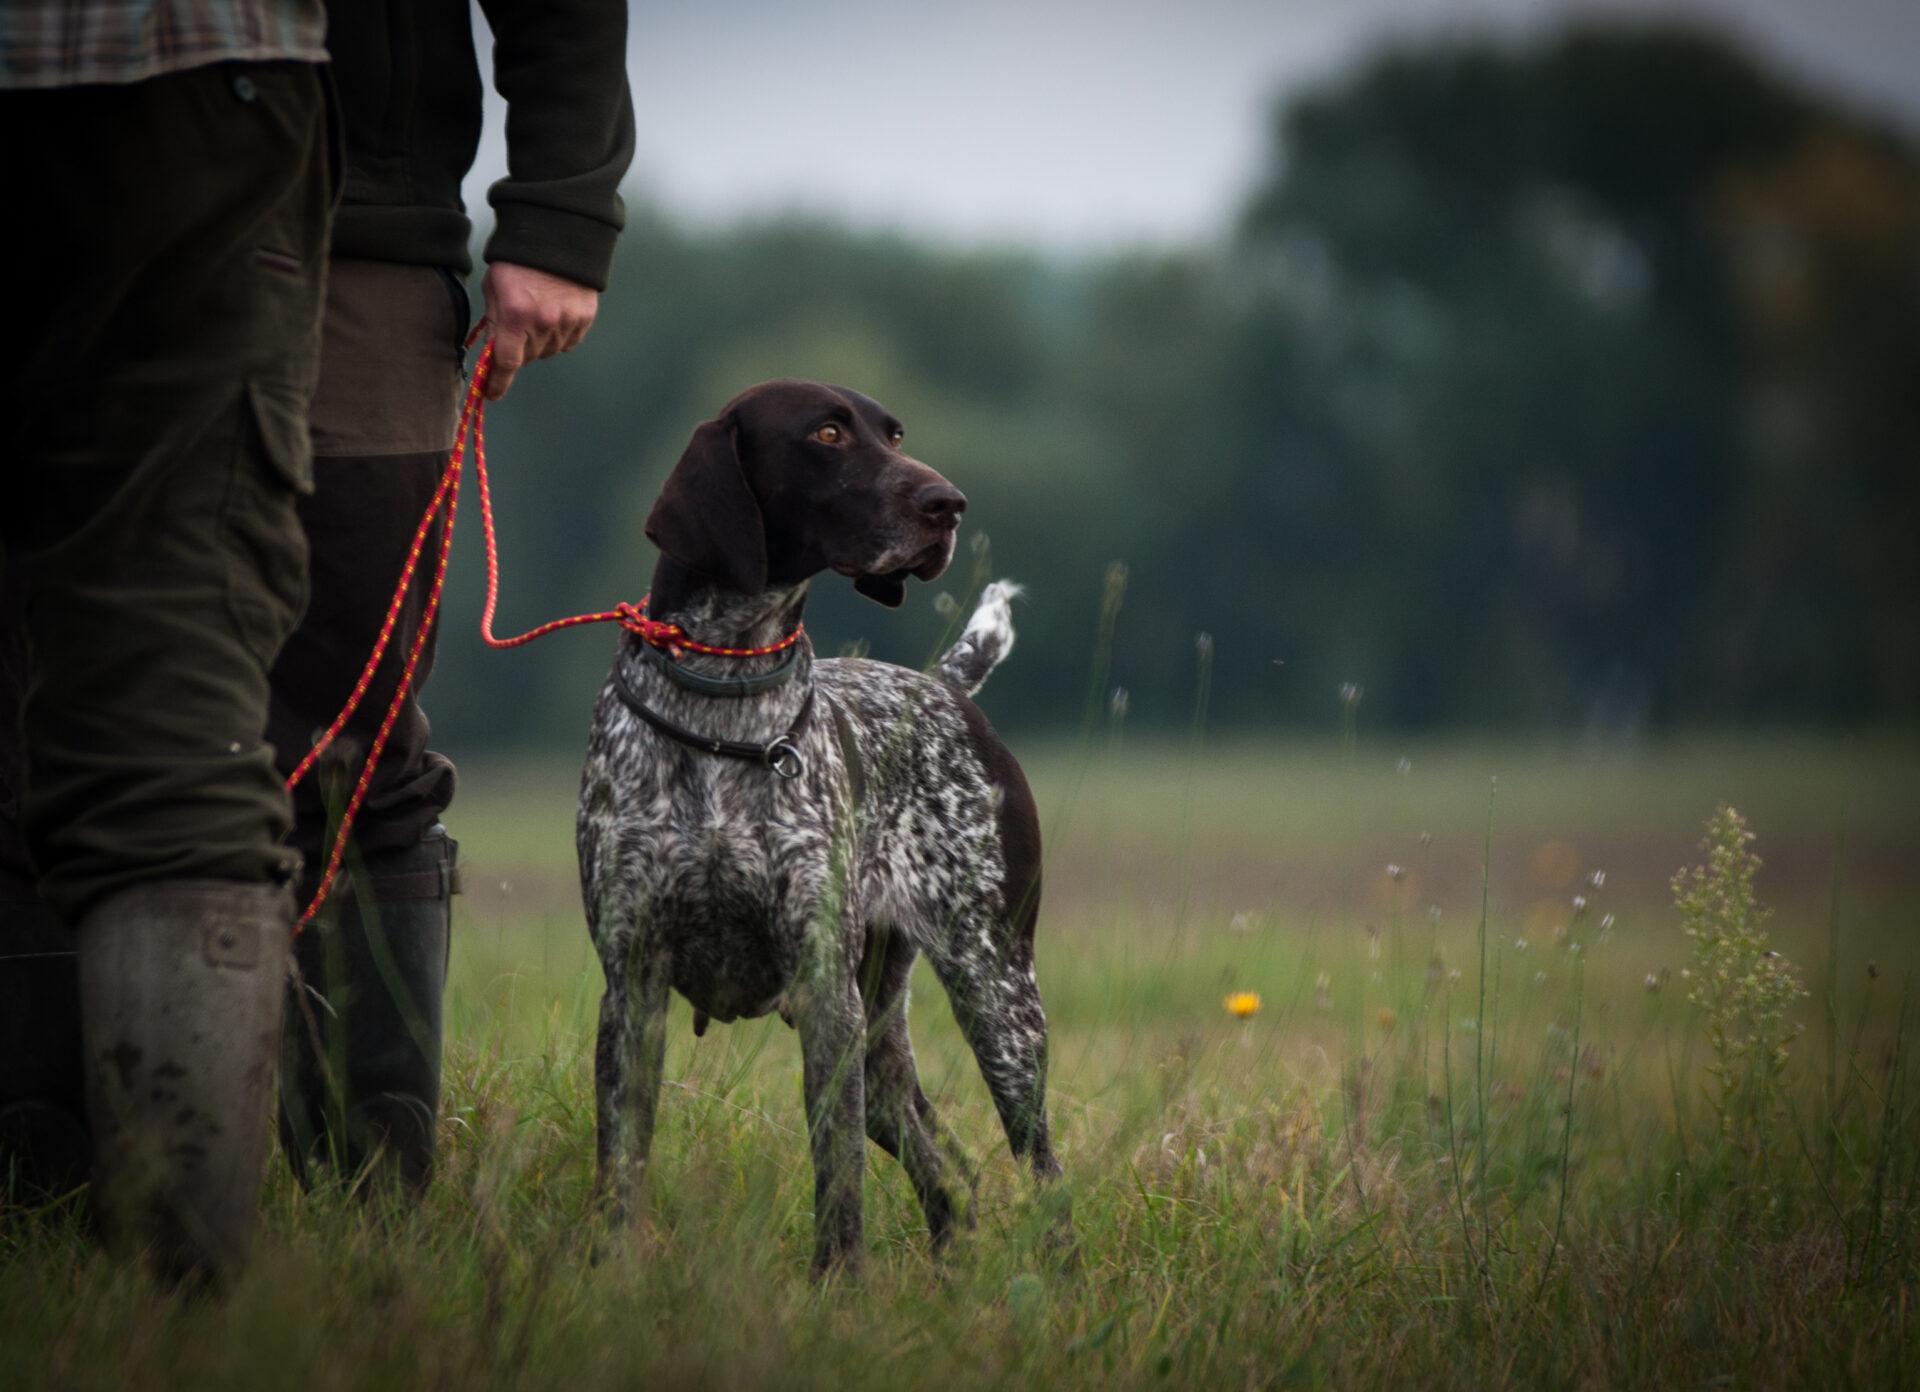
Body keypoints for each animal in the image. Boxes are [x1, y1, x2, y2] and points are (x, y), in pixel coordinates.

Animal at [576, 378, 1067, 1267]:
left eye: (895, 433)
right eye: (828, 434)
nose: (949, 504)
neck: (723, 701)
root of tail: (943, 686)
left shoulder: (823, 993)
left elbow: (836, 1180)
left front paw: (838, 1281)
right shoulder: (632, 985)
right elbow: (620, 1166)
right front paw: (610, 1274)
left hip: (997, 1000)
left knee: (1042, 1171)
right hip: (884, 1040)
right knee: (951, 1177)